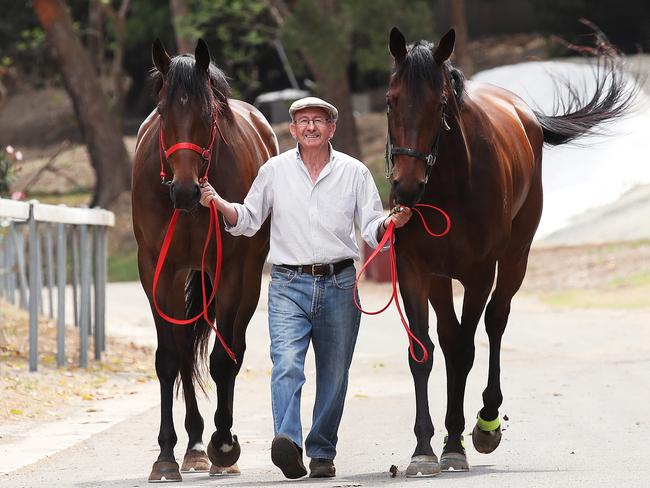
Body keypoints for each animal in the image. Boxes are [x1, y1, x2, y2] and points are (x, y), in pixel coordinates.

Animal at [132, 38, 276, 480]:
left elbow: (221, 360)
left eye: (207, 113)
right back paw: (193, 444)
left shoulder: (229, 271)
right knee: (183, 352)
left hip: (247, 279)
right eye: (163, 111)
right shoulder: (156, 271)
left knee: (233, 349)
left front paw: (224, 445)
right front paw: (165, 455)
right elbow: (168, 359)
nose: (185, 190)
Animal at [384, 27, 632, 476]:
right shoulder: (414, 270)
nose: (407, 187)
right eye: (390, 100)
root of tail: (524, 112)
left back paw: (485, 422)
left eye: (439, 104)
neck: (449, 187)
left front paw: (455, 444)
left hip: (516, 257)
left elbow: (466, 350)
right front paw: (424, 449)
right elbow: (423, 353)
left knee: (495, 322)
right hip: (440, 279)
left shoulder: (479, 274)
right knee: (448, 336)